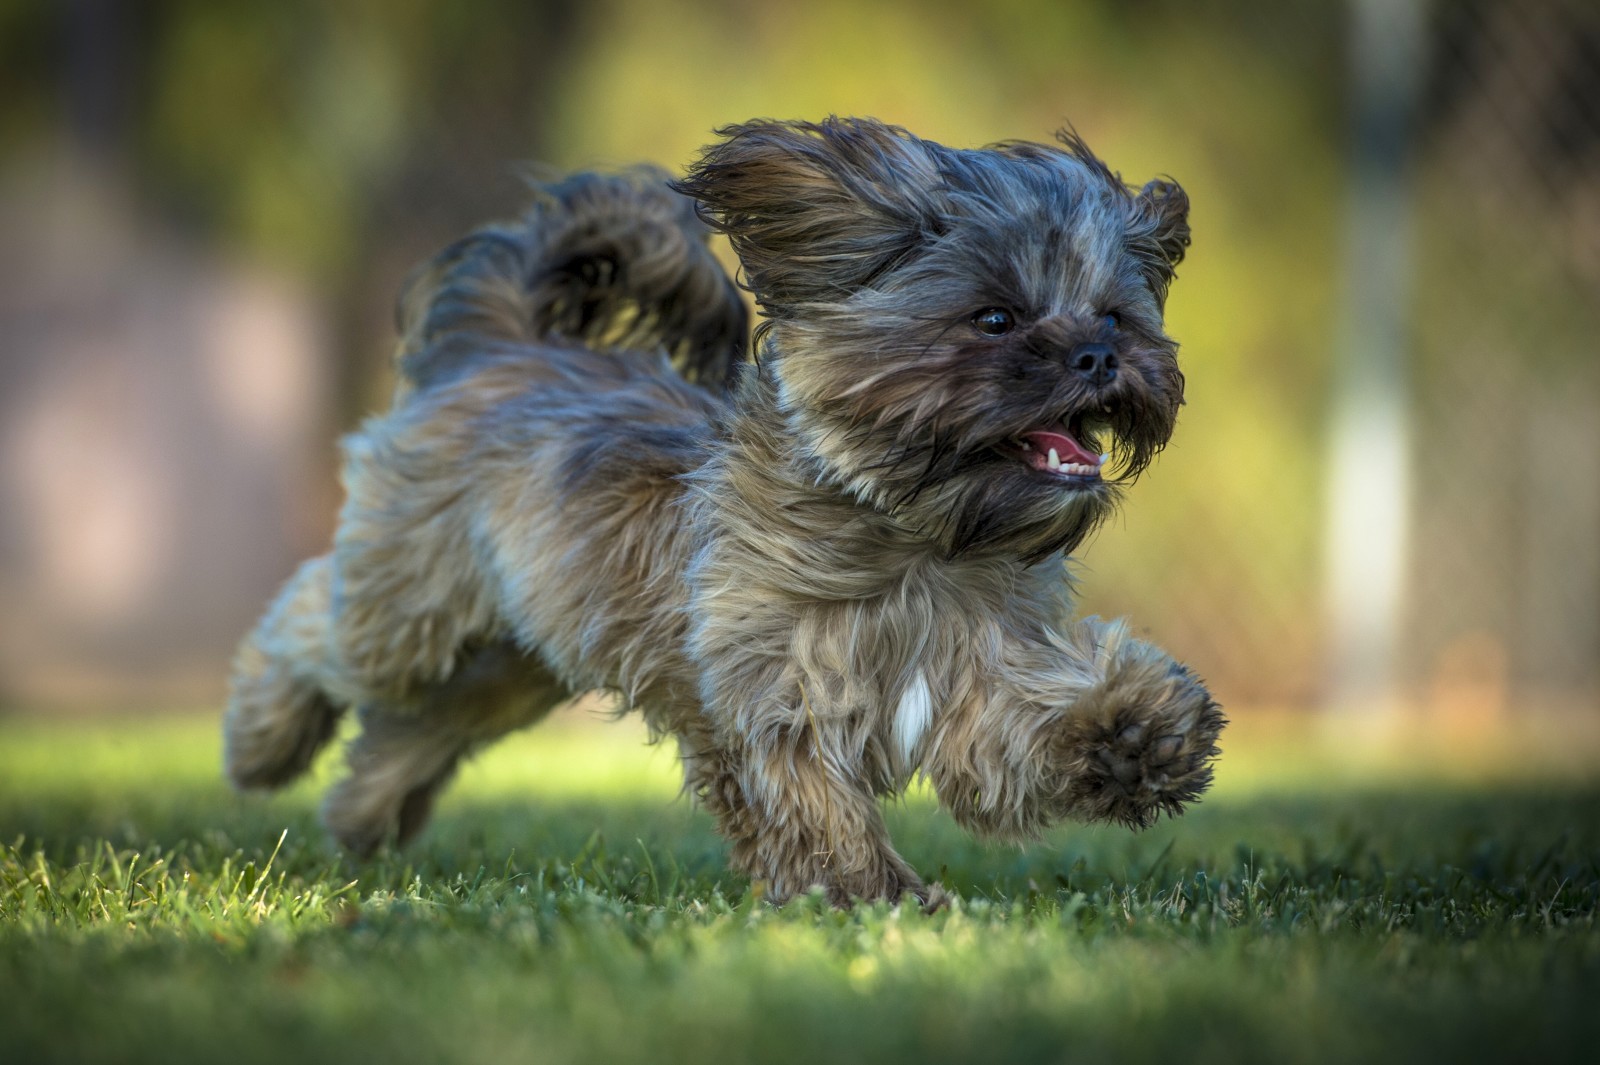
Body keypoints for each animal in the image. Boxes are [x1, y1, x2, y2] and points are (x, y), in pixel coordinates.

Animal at [225, 118, 1222, 901]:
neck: (914, 540)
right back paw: (261, 743)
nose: (1100, 356)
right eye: (996, 319)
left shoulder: (976, 673)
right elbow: (809, 795)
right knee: (310, 621)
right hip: (410, 609)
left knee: (420, 725)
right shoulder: (773, 686)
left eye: (1116, 315)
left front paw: (1136, 735)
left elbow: (1021, 727)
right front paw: (867, 893)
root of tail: (503, 346)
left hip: (514, 657)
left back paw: (362, 815)